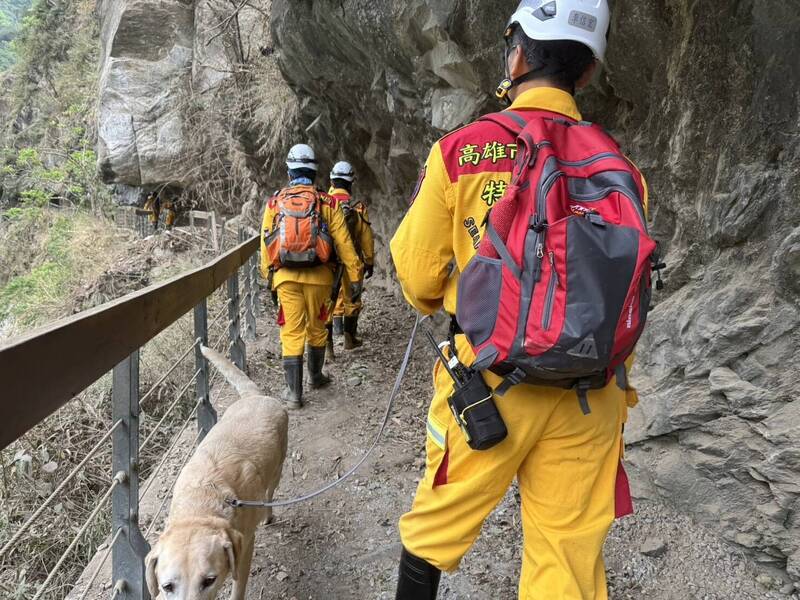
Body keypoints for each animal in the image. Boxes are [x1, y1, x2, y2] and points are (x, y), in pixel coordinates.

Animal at [145, 346, 290, 600]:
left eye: (209, 580)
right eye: (167, 586)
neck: (201, 502)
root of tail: (254, 396)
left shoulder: (245, 548)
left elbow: (238, 587)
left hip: (277, 469)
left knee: (270, 493)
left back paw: (268, 514)